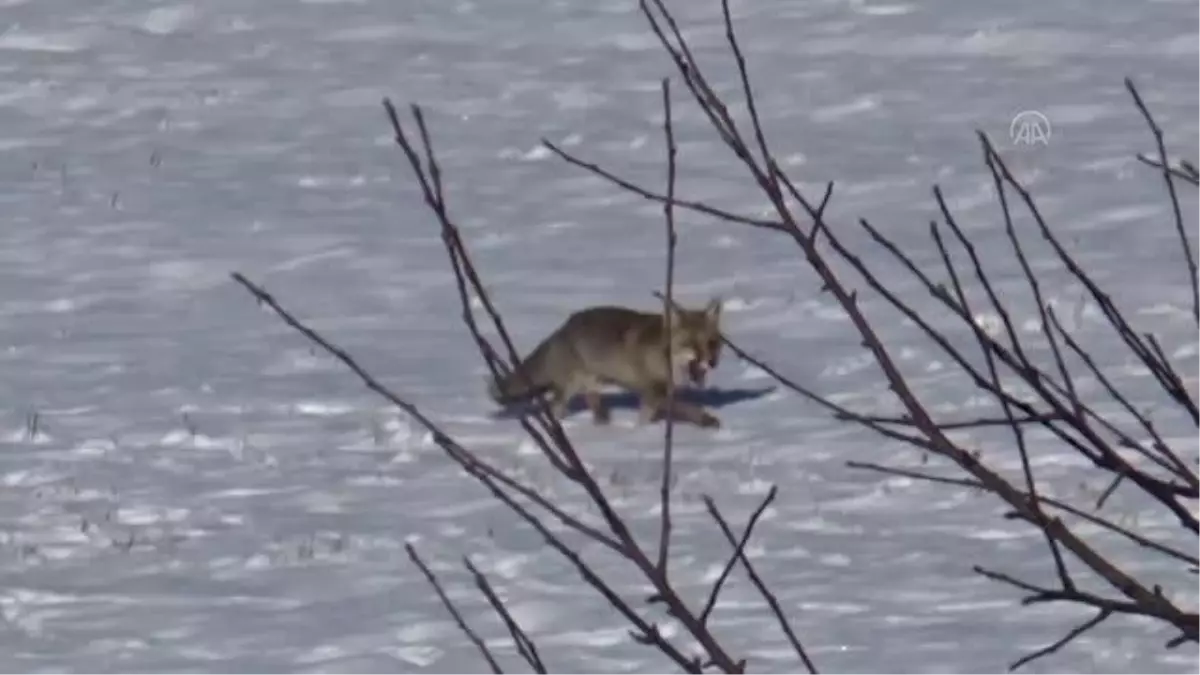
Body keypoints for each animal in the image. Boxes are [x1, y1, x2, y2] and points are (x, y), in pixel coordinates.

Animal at [484, 297, 720, 425]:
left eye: (711, 343)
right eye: (690, 344)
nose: (711, 363)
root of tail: (562, 328)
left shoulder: (659, 393)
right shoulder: (652, 391)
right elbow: (685, 408)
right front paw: (706, 419)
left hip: (592, 384)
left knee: (593, 404)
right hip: (570, 387)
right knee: (556, 407)